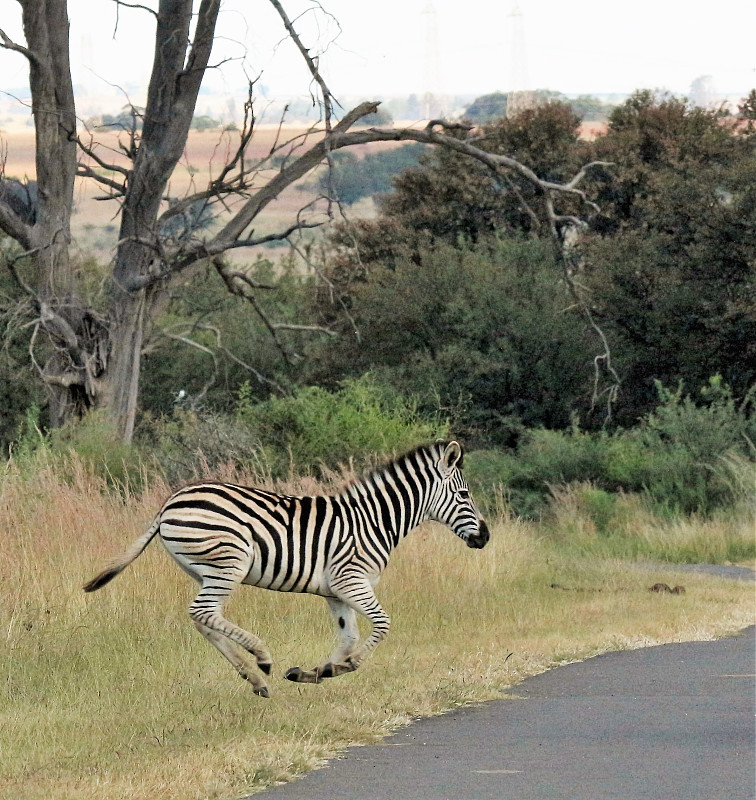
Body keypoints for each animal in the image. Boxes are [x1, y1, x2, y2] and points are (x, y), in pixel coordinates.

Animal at [82, 440, 490, 696]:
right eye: (464, 495)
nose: (485, 537)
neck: (375, 520)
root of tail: (171, 501)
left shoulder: (336, 591)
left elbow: (347, 636)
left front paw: (319, 672)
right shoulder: (352, 580)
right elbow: (381, 626)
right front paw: (345, 666)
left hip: (204, 570)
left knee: (203, 619)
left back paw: (254, 679)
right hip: (229, 562)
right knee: (204, 613)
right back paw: (261, 658)